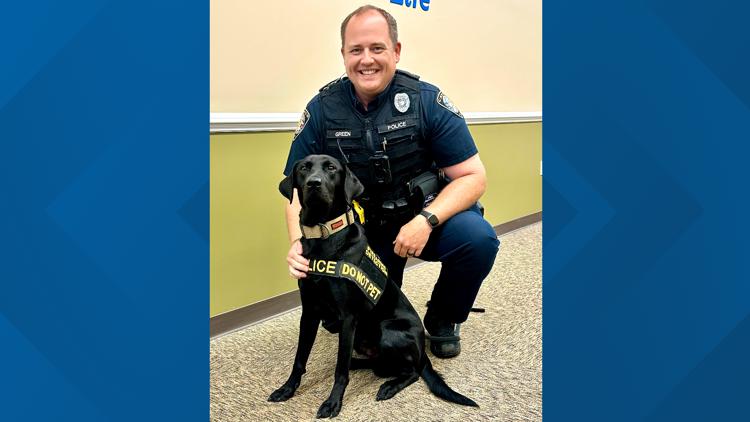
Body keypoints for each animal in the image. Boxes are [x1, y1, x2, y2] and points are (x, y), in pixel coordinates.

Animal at [270, 155, 478, 418]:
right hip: (361, 337)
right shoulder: (309, 313)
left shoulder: (348, 317)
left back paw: (389, 386)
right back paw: (358, 364)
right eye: (303, 168)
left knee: (411, 371)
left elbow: (340, 370)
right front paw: (287, 389)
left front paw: (333, 402)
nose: (314, 183)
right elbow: (299, 359)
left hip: (387, 332)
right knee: (375, 364)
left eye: (331, 168)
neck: (325, 236)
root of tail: (422, 350)